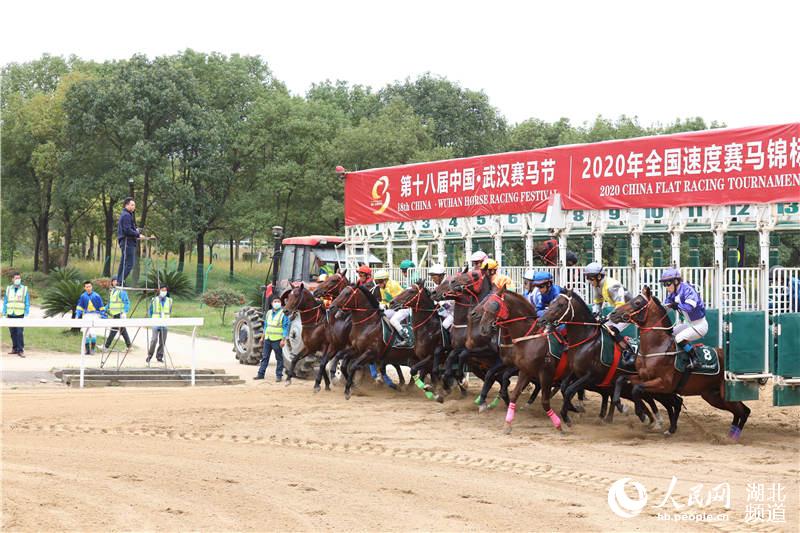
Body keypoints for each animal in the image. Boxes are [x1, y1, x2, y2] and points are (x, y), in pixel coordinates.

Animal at [608, 286, 752, 440]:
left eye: (637, 302)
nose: (613, 313)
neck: (656, 347)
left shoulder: (664, 384)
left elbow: (637, 389)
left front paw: (643, 416)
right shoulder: (643, 377)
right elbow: (621, 379)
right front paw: (621, 406)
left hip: (726, 393)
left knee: (744, 411)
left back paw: (733, 437)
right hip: (712, 395)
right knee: (741, 411)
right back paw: (730, 435)